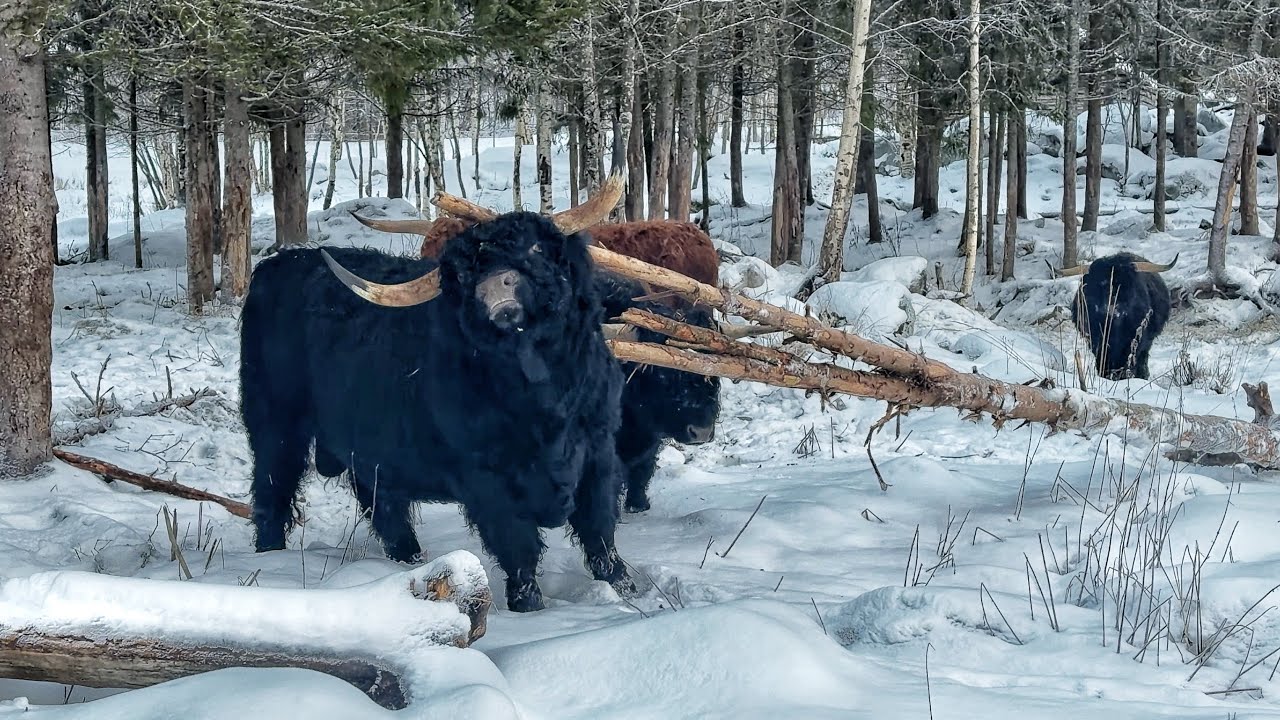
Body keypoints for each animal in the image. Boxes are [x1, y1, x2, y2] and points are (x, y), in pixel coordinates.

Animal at [238, 180, 637, 613]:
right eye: (463, 275)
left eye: (534, 248)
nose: (494, 289)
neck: (544, 402)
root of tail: (276, 266)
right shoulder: (487, 479)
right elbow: (519, 547)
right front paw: (528, 606)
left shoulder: (599, 451)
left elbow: (600, 529)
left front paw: (626, 589)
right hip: (276, 422)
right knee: (273, 488)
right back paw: (271, 558)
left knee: (381, 505)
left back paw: (410, 559)